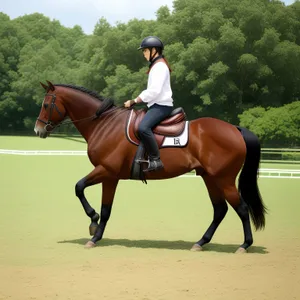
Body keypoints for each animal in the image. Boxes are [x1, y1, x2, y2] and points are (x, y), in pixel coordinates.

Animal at [34, 80, 266, 253]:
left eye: (46, 105)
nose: (38, 130)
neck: (104, 124)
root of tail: (235, 129)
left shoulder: (105, 170)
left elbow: (79, 187)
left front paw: (92, 220)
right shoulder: (110, 177)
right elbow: (106, 209)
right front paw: (96, 234)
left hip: (224, 179)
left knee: (241, 208)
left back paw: (245, 245)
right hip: (210, 178)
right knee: (220, 210)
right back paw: (201, 242)